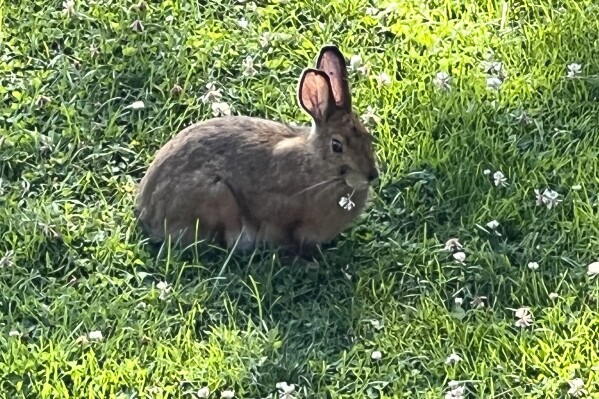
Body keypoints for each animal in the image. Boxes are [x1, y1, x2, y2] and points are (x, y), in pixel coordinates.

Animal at [136, 43, 380, 256]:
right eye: (337, 146)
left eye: (368, 136)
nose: (371, 176)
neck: (319, 169)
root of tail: (147, 212)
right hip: (218, 196)